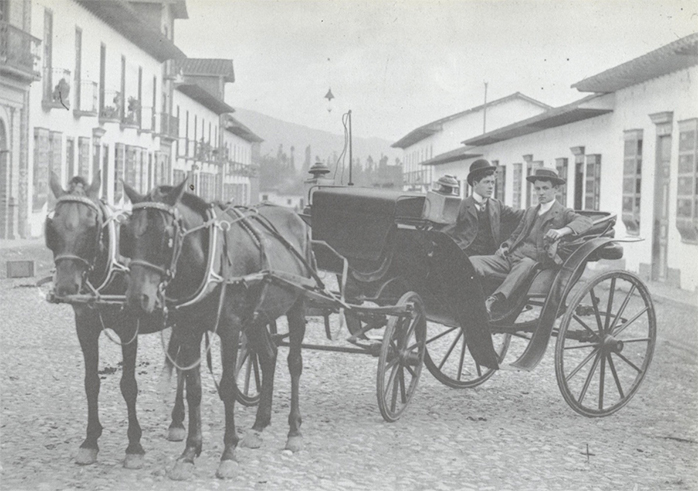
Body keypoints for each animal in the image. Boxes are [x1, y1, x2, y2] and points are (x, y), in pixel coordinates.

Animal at [44, 172, 186, 468]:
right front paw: (90, 441)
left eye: (92, 225)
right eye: (53, 225)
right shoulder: (85, 329)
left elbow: (128, 385)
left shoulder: (128, 329)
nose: (66, 287)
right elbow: (91, 382)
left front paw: (134, 445)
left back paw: (177, 421)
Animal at [121, 178, 312, 480]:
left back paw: (293, 430)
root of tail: (298, 220)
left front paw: (228, 452)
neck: (207, 262)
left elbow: (228, 388)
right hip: (258, 317)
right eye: (127, 233)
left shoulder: (231, 330)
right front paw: (190, 452)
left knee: (294, 363)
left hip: (297, 307)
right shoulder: (188, 328)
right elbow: (194, 389)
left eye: (166, 236)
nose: (137, 300)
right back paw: (259, 425)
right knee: (268, 356)